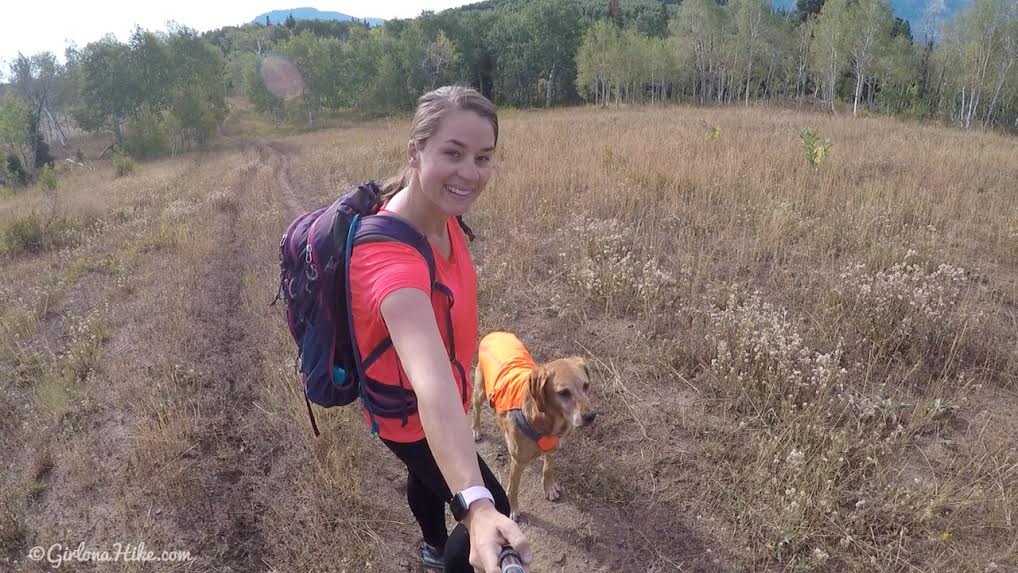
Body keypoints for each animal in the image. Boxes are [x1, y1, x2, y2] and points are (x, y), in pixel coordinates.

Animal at [470, 329, 594, 521]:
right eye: (563, 393)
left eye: (586, 385)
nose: (590, 416)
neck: (547, 419)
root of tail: (495, 332)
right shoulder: (518, 461)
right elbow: (513, 489)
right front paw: (513, 509)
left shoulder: (553, 448)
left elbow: (548, 469)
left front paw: (549, 488)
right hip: (480, 390)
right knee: (475, 408)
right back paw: (476, 430)